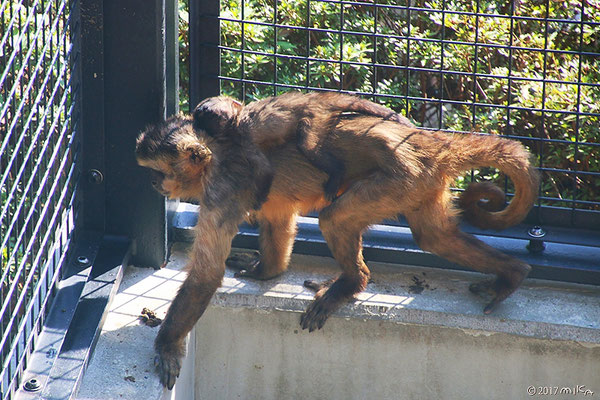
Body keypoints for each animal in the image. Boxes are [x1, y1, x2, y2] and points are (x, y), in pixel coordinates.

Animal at [195, 92, 414, 202]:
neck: (238, 119)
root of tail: (313, 98)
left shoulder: (244, 136)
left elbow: (265, 170)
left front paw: (258, 202)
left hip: (316, 115)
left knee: (307, 144)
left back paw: (337, 173)